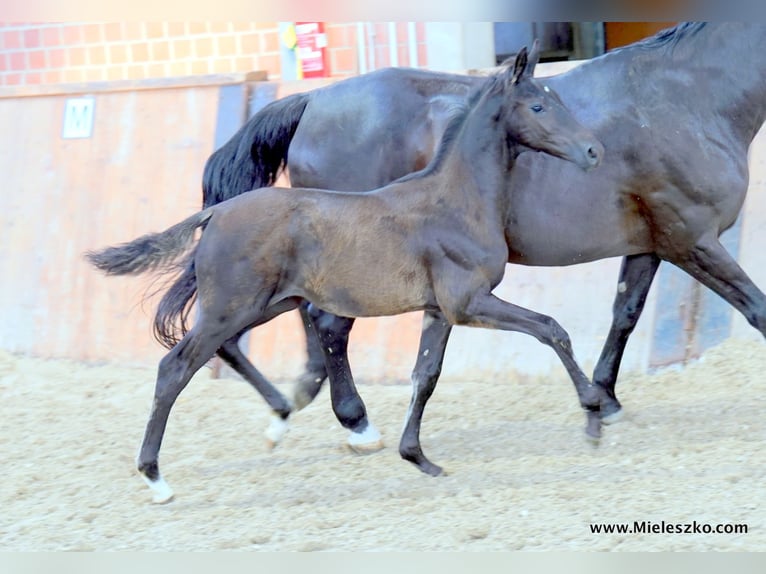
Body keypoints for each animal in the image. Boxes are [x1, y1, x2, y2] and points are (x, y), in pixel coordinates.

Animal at [88, 47, 608, 502]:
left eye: (559, 99)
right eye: (538, 105)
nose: (593, 151)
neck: (455, 201)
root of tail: (214, 213)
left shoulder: (439, 311)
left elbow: (425, 375)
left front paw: (417, 457)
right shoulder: (469, 303)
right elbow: (551, 329)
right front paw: (595, 413)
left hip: (259, 306)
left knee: (225, 349)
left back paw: (282, 416)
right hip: (233, 307)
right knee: (174, 369)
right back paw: (156, 479)